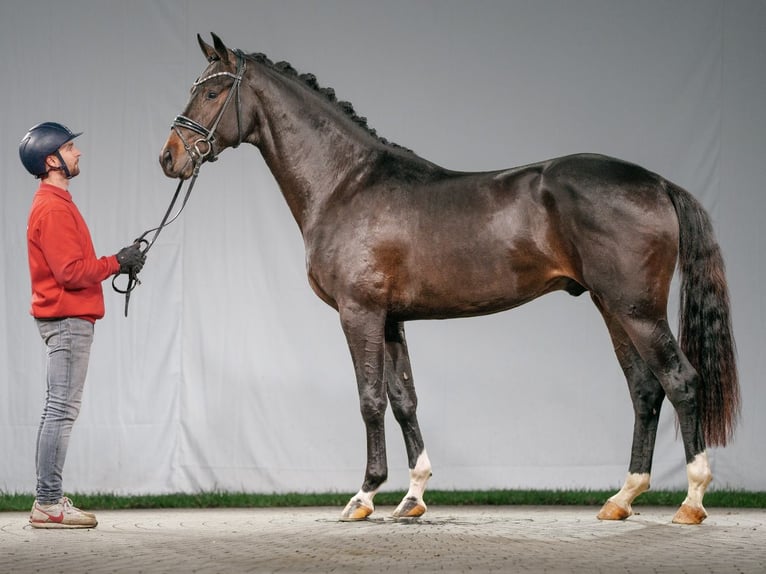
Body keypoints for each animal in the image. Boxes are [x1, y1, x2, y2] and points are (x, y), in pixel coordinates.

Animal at [159, 33, 740, 524]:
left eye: (212, 91)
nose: (169, 157)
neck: (346, 183)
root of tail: (658, 182)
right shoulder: (390, 320)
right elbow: (404, 399)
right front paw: (412, 497)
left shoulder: (359, 313)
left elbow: (369, 398)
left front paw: (364, 495)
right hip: (613, 307)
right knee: (645, 389)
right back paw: (622, 498)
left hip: (635, 309)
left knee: (682, 381)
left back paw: (691, 501)